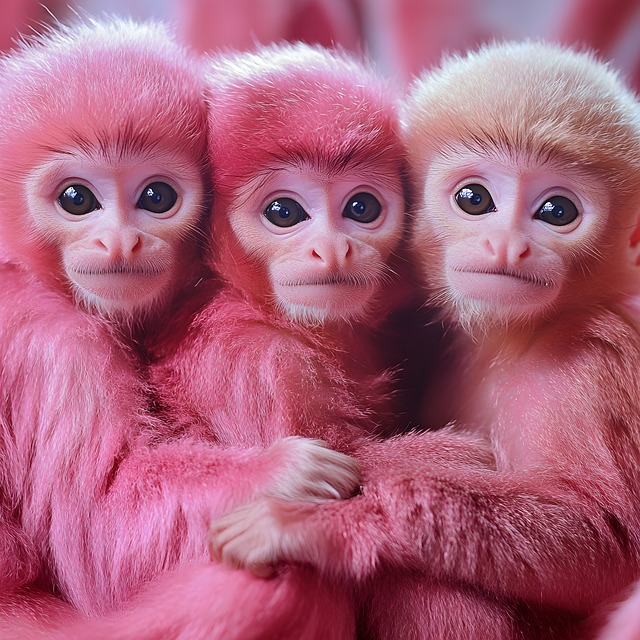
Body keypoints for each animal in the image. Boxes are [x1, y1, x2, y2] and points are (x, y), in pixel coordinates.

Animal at [0, 18, 359, 638]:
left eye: (156, 196)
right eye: (76, 198)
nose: (120, 242)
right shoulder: (51, 342)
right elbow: (106, 528)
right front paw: (284, 472)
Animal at [208, 41, 640, 639]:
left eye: (557, 211)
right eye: (474, 199)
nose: (507, 246)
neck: (518, 340)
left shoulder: (590, 363)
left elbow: (602, 537)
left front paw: (318, 525)